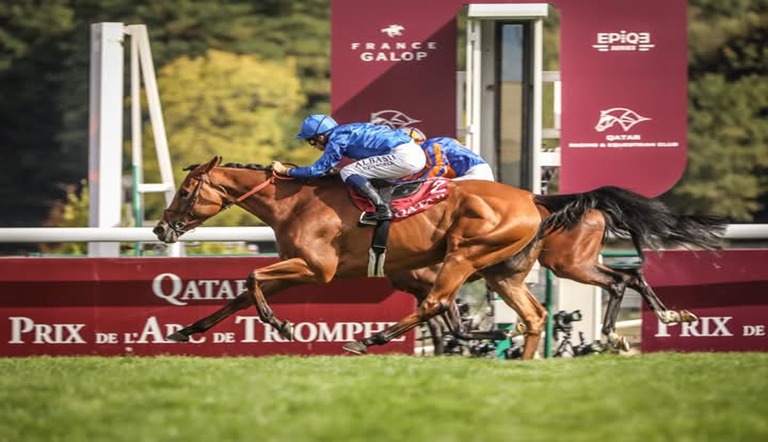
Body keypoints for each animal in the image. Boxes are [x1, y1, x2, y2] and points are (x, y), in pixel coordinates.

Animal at [154, 156, 578, 359]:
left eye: (186, 191)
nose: (161, 229)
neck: (293, 204)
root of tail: (532, 198)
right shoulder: (295, 268)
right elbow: (243, 293)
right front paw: (186, 330)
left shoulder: (317, 269)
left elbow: (252, 277)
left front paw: (282, 325)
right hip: (500, 272)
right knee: (532, 316)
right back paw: (522, 359)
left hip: (464, 257)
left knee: (437, 304)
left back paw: (369, 339)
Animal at [389, 186, 726, 353]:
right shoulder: (429, 286)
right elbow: (450, 327)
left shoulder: (439, 280)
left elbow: (444, 321)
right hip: (575, 263)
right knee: (630, 276)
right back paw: (663, 317)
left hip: (569, 265)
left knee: (619, 281)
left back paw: (614, 332)